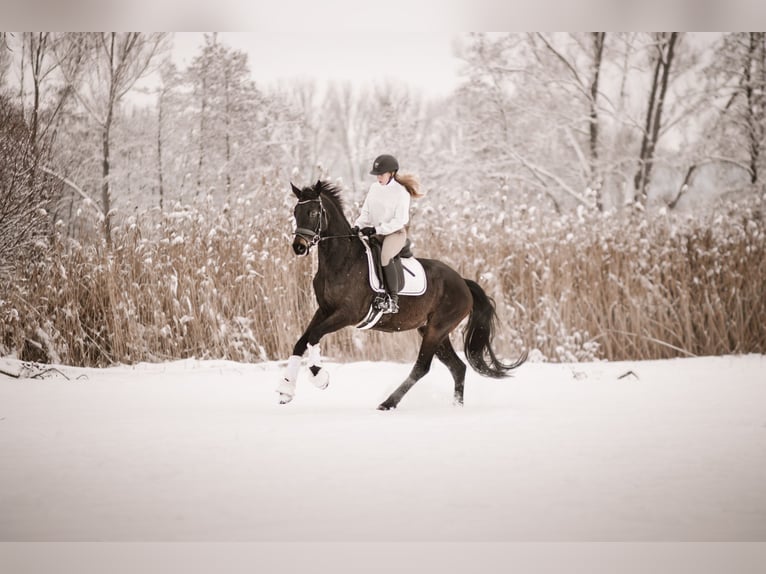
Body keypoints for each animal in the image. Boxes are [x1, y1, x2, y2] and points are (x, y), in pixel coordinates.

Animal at [277, 180, 526, 410]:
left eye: (313, 212)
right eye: (296, 212)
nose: (299, 247)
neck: (341, 260)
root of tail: (463, 282)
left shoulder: (348, 314)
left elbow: (314, 336)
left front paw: (319, 377)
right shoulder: (324, 310)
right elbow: (301, 342)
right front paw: (286, 391)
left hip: (437, 329)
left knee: (422, 367)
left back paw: (388, 403)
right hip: (433, 330)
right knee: (458, 367)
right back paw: (456, 407)